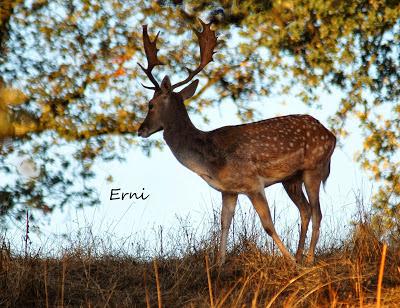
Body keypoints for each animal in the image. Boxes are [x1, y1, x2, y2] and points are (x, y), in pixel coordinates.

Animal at [136, 19, 336, 264]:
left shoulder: (252, 182)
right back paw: (300, 256)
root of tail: (331, 136)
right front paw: (219, 263)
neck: (210, 160)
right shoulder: (229, 190)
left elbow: (267, 225)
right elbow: (224, 223)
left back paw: (307, 260)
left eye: (150, 104)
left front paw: (288, 261)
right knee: (305, 210)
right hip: (290, 179)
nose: (141, 129)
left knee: (317, 212)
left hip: (314, 167)